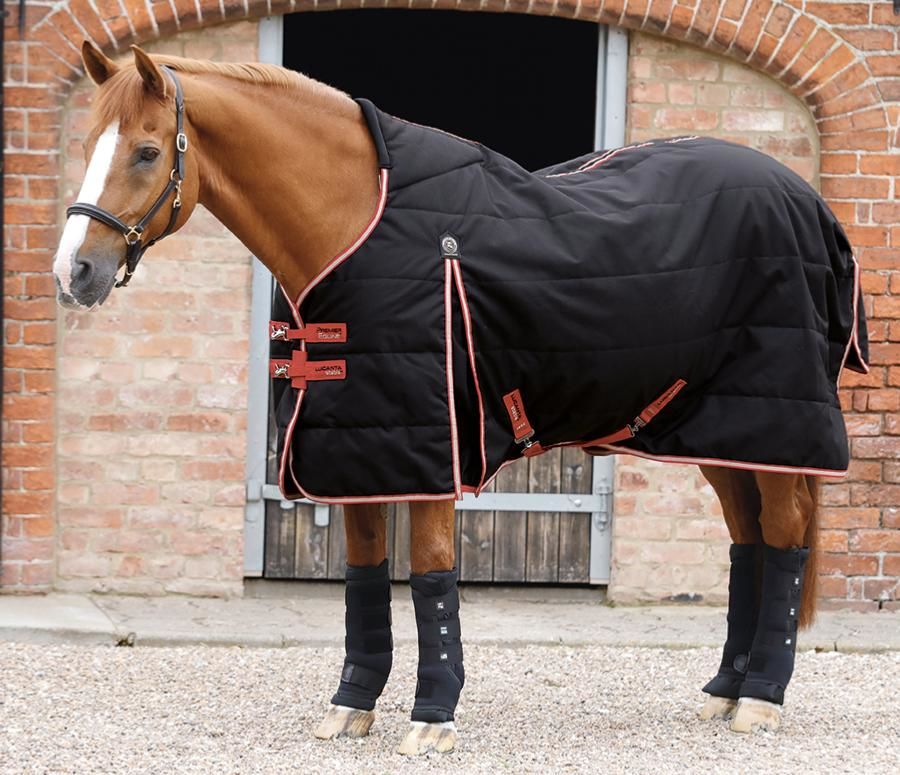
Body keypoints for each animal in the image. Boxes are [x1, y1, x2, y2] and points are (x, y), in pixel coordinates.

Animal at [53, 41, 867, 754]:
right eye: (88, 142)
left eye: (147, 152)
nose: (74, 273)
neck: (358, 225)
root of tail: (810, 202)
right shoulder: (357, 453)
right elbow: (362, 578)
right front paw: (351, 705)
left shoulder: (429, 451)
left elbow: (434, 575)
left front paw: (433, 716)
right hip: (721, 429)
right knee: (748, 539)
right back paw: (726, 689)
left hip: (771, 421)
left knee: (785, 534)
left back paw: (761, 697)